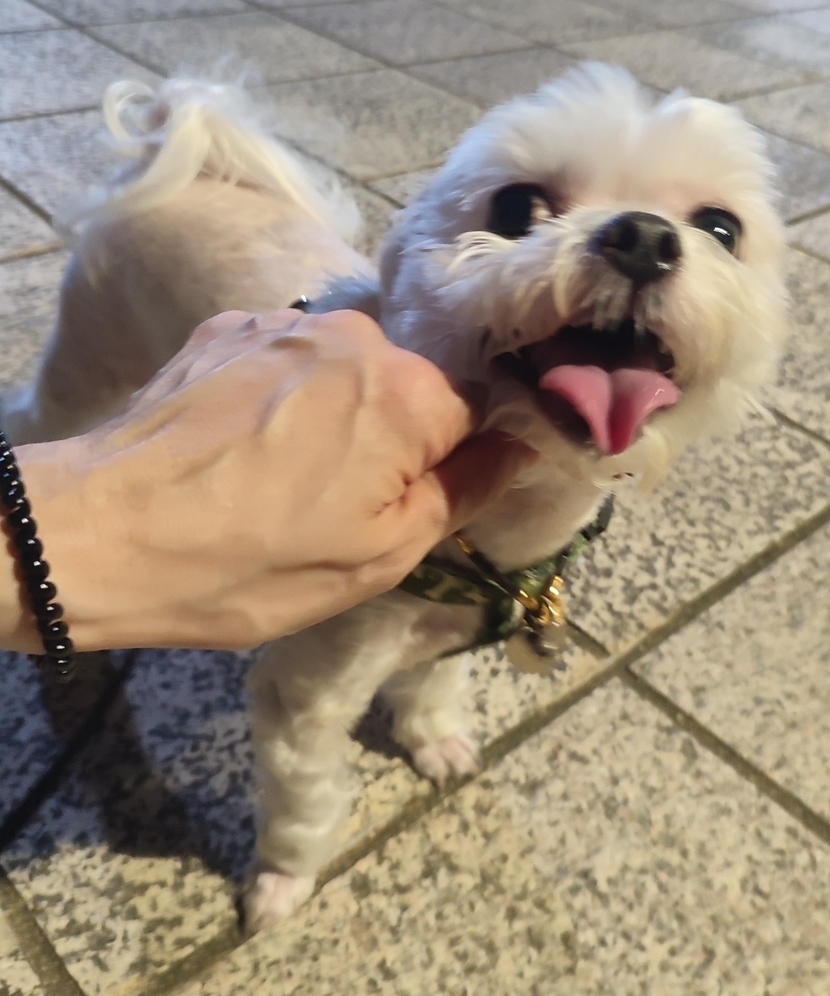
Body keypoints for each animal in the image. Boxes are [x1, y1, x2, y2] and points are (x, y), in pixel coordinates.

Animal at [1, 65, 787, 932]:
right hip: (83, 364)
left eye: (720, 228)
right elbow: (307, 802)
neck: (496, 538)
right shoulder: (303, 696)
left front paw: (433, 739)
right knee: (36, 419)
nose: (644, 237)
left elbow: (433, 688)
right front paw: (280, 885)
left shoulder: (455, 634)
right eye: (516, 207)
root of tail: (194, 155)